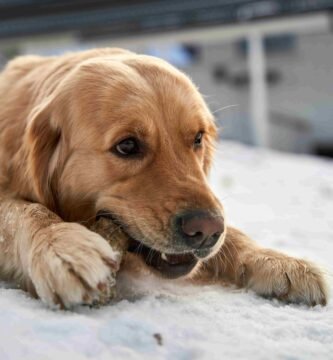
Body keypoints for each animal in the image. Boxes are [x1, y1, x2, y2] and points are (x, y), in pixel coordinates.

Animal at [0, 47, 326, 306]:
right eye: (127, 145)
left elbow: (234, 233)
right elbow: (23, 209)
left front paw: (276, 261)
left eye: (198, 138)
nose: (207, 229)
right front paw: (63, 247)